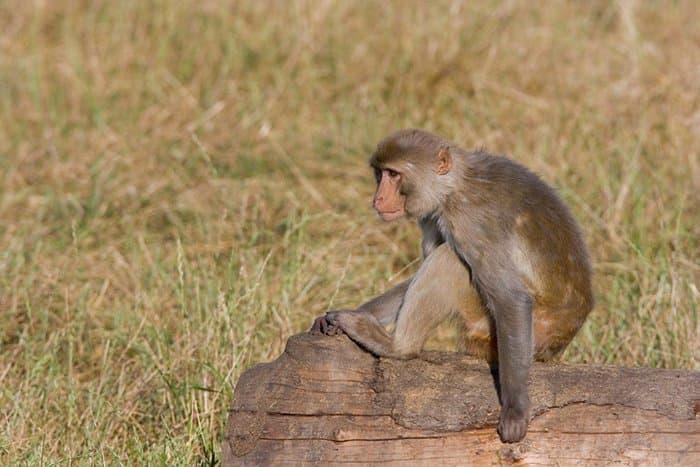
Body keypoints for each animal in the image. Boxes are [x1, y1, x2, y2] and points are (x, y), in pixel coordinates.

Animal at [308, 130, 592, 444]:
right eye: (380, 173)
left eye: (394, 174)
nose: (378, 197)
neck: (453, 187)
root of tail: (559, 343)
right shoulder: (433, 215)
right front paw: (338, 315)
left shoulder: (470, 220)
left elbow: (511, 297)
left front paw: (516, 408)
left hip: (504, 331)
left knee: (451, 260)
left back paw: (397, 346)